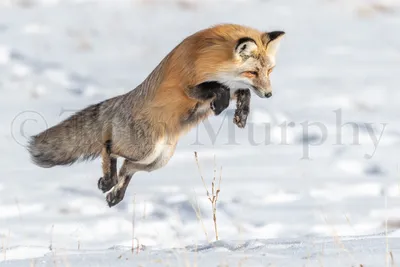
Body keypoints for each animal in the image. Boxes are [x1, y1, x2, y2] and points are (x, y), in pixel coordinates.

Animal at [27, 24, 284, 207]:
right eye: (252, 72)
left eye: (270, 71)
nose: (269, 94)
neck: (209, 57)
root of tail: (119, 102)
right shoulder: (188, 85)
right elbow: (217, 88)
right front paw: (221, 105)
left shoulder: (231, 87)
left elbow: (242, 92)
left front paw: (241, 115)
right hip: (144, 149)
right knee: (109, 149)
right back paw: (107, 181)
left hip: (157, 160)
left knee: (127, 168)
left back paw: (114, 194)